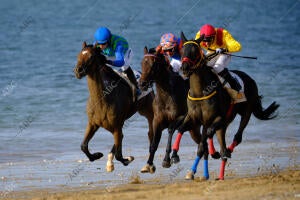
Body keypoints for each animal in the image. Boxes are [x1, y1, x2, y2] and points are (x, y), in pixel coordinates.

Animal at [73, 42, 155, 172]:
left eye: (91, 57)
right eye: (78, 55)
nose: (78, 71)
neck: (102, 100)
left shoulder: (116, 126)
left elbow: (119, 155)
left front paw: (128, 159)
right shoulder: (93, 124)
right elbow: (83, 146)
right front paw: (97, 155)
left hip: (148, 112)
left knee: (150, 133)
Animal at [172, 32, 280, 180]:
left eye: (195, 51)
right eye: (182, 51)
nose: (185, 68)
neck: (201, 91)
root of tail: (250, 79)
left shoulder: (217, 118)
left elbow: (205, 141)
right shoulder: (195, 118)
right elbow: (182, 129)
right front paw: (175, 156)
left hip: (245, 113)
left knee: (236, 138)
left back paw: (226, 153)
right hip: (224, 123)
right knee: (218, 140)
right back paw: (218, 171)